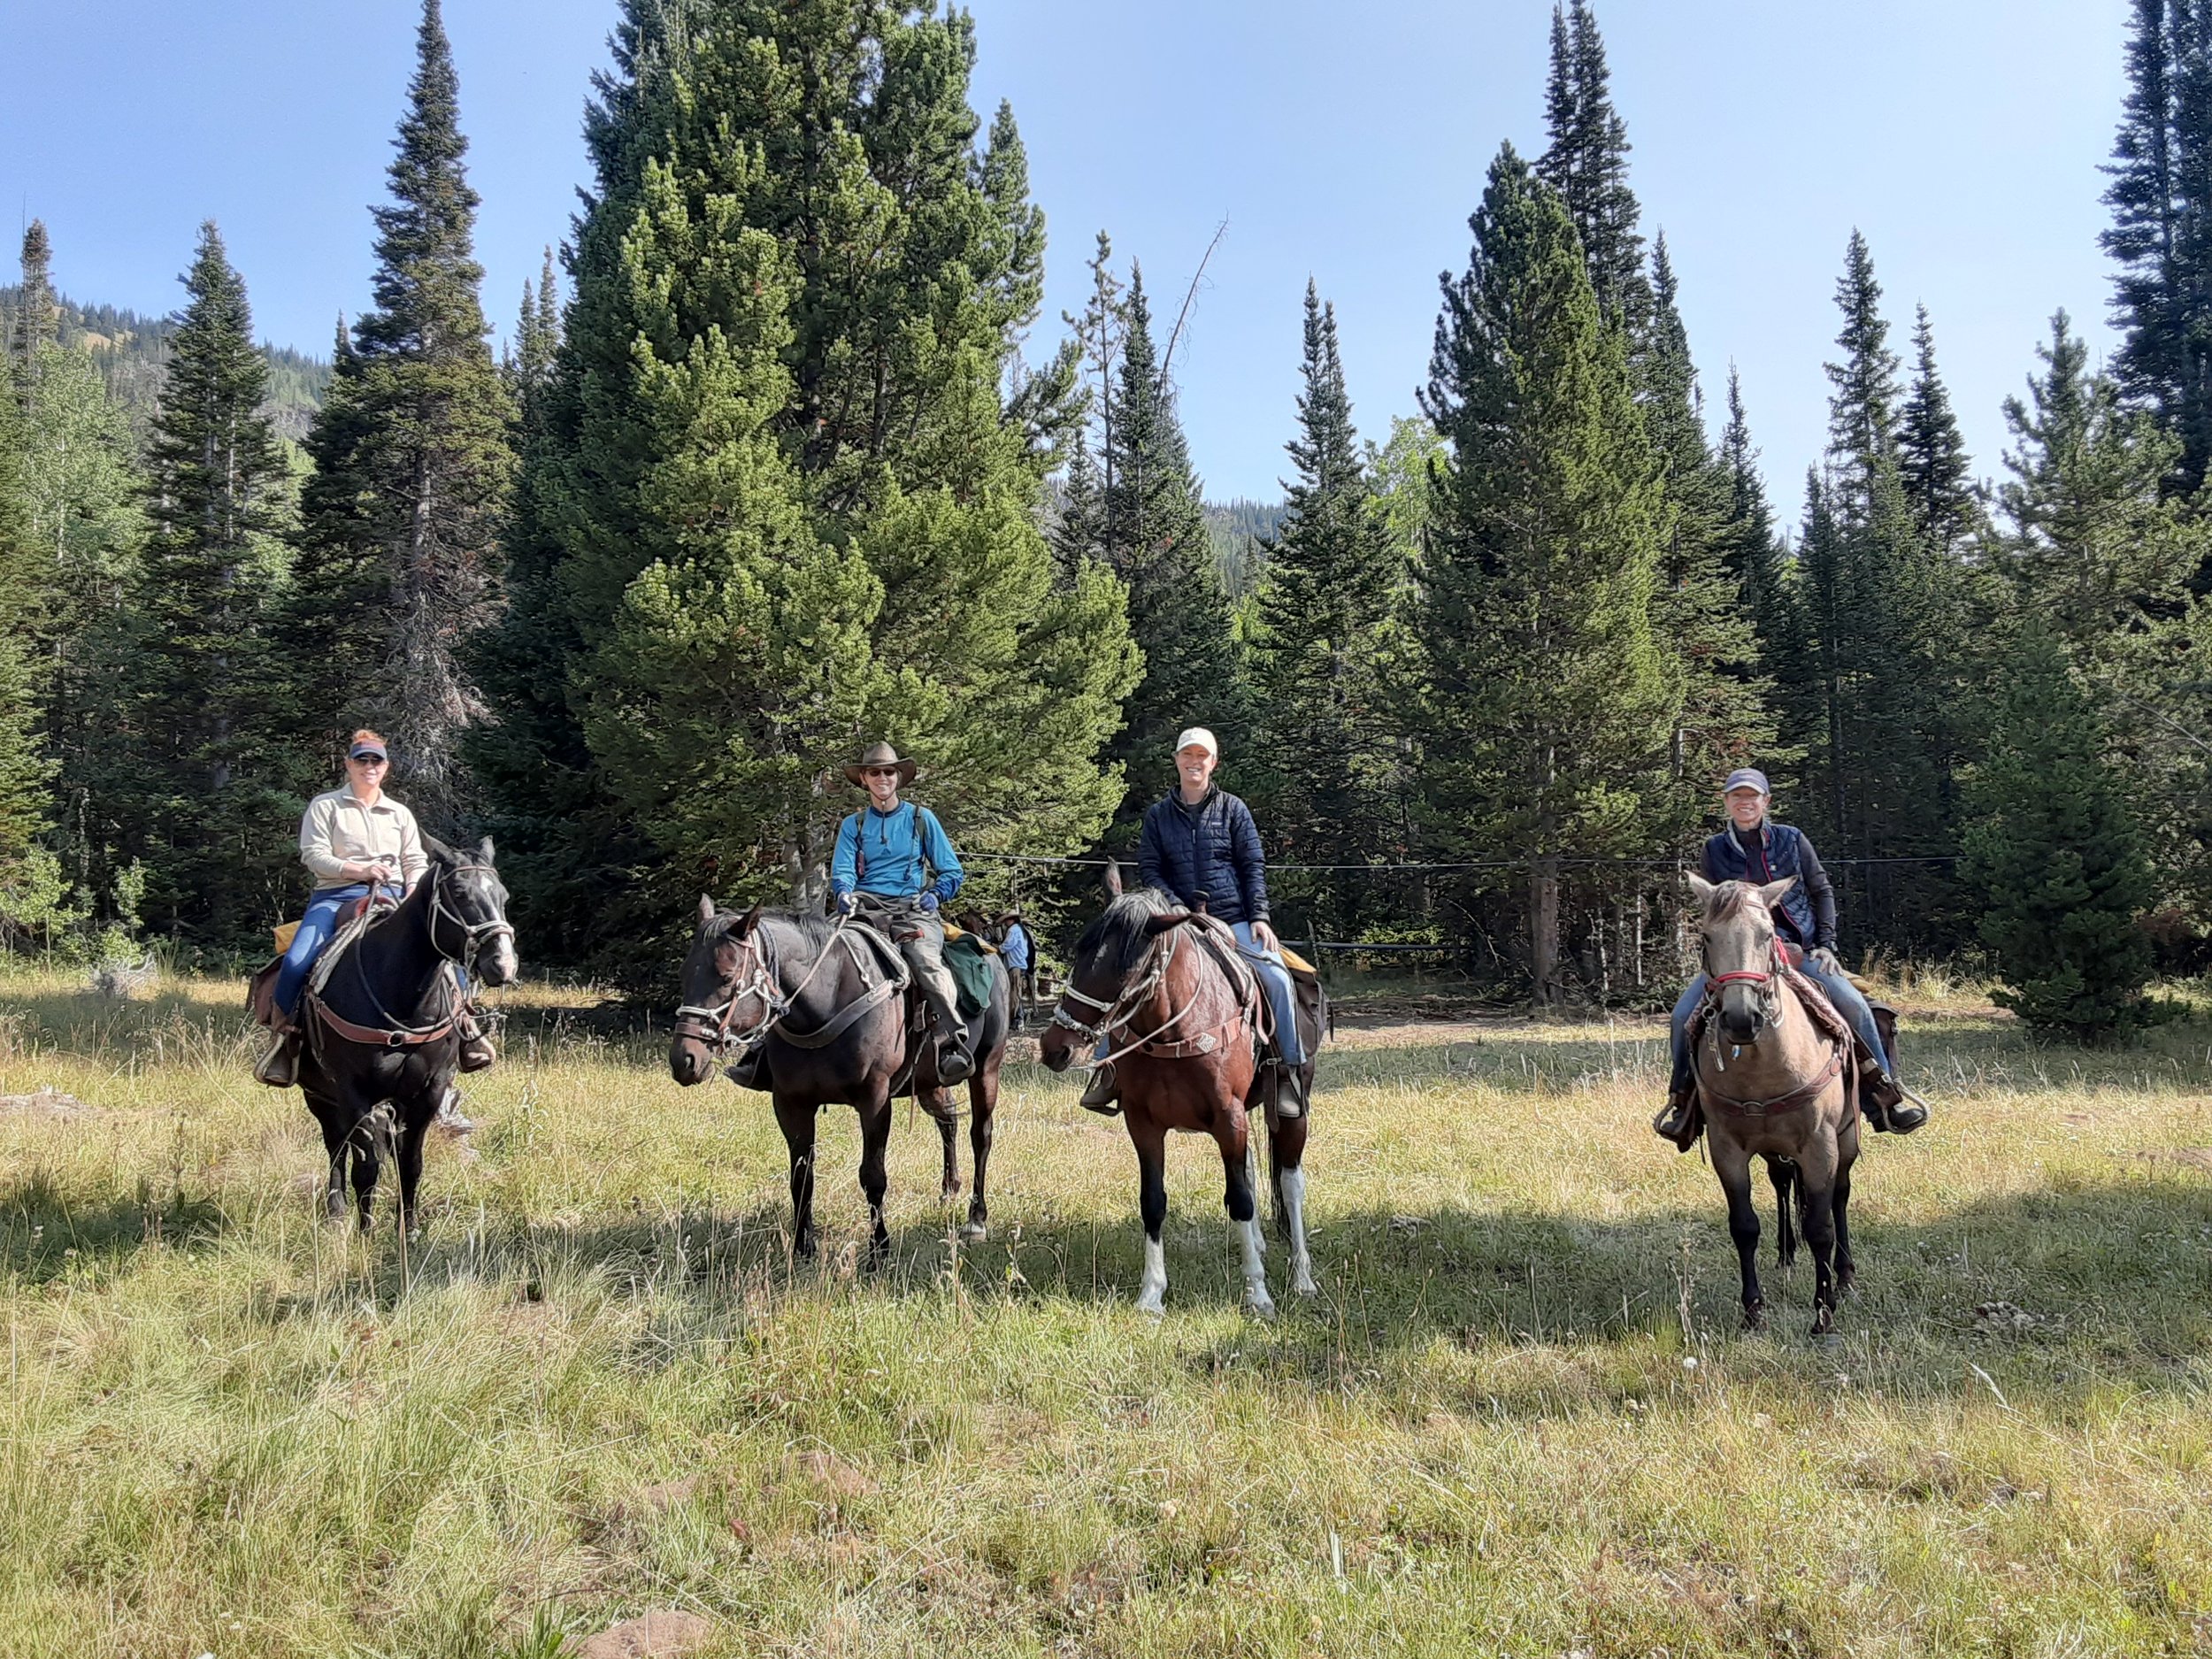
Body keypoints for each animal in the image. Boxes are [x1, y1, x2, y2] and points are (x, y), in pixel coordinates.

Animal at [294, 845, 518, 1239]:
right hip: (318, 1094)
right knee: (336, 1146)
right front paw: (366, 1233)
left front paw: (408, 1230)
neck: (402, 997)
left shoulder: (429, 1091)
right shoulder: (353, 1092)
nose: (503, 964)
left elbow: (410, 1162)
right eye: (459, 892)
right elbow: (366, 1166)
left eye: (503, 896)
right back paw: (336, 1213)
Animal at [668, 902, 1013, 1265]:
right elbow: (801, 1177)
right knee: (947, 1122)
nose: (684, 1060)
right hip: (929, 1080)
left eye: (727, 977)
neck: (825, 1002)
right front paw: (803, 1248)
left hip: (986, 1070)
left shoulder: (875, 1101)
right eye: (684, 974)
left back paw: (976, 1218)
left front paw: (878, 1251)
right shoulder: (791, 1103)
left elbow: (873, 1176)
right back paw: (949, 1189)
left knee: (980, 1136)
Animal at [1035, 872, 1310, 1327]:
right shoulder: (1143, 1125)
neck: (1177, 1030)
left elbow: (1240, 1201)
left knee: (1290, 1183)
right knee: (1253, 1172)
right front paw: (1151, 1295)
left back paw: (1302, 1276)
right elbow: (1154, 1202)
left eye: (1125, 969)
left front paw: (1257, 1294)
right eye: (1080, 952)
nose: (1055, 1047)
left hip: (1291, 1115)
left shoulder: (1229, 1119)